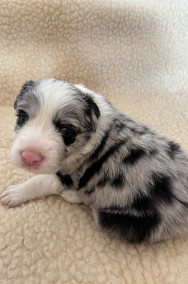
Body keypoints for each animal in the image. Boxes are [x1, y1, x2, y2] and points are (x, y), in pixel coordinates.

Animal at [0, 79, 188, 243]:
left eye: (66, 130)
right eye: (22, 117)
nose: (29, 156)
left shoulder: (69, 175)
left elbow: (39, 181)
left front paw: (15, 193)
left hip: (122, 219)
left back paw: (72, 195)